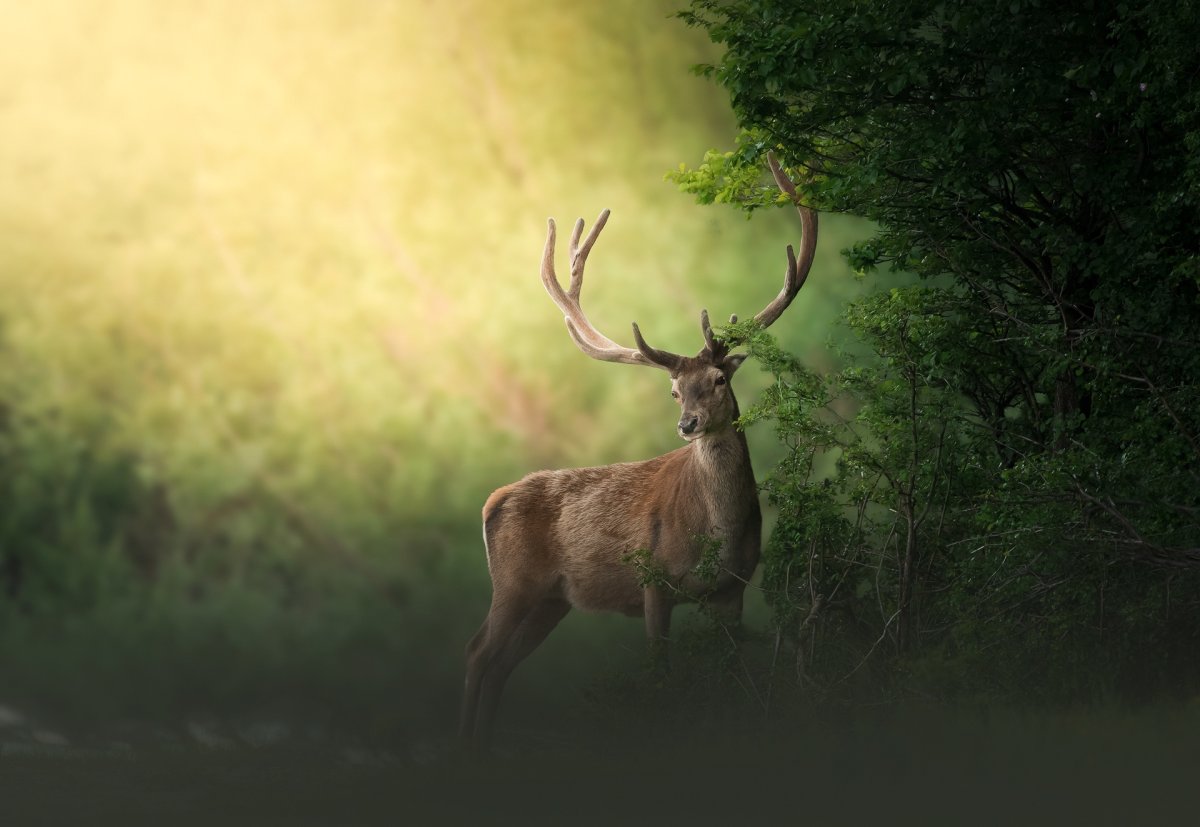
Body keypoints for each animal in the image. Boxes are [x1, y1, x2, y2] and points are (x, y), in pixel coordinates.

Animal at [459, 155, 817, 750]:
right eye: (674, 390)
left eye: (719, 379)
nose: (687, 423)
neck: (716, 532)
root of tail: (492, 500)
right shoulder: (655, 580)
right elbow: (660, 677)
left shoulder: (734, 589)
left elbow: (732, 676)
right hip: (514, 581)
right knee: (478, 653)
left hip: (551, 600)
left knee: (499, 661)